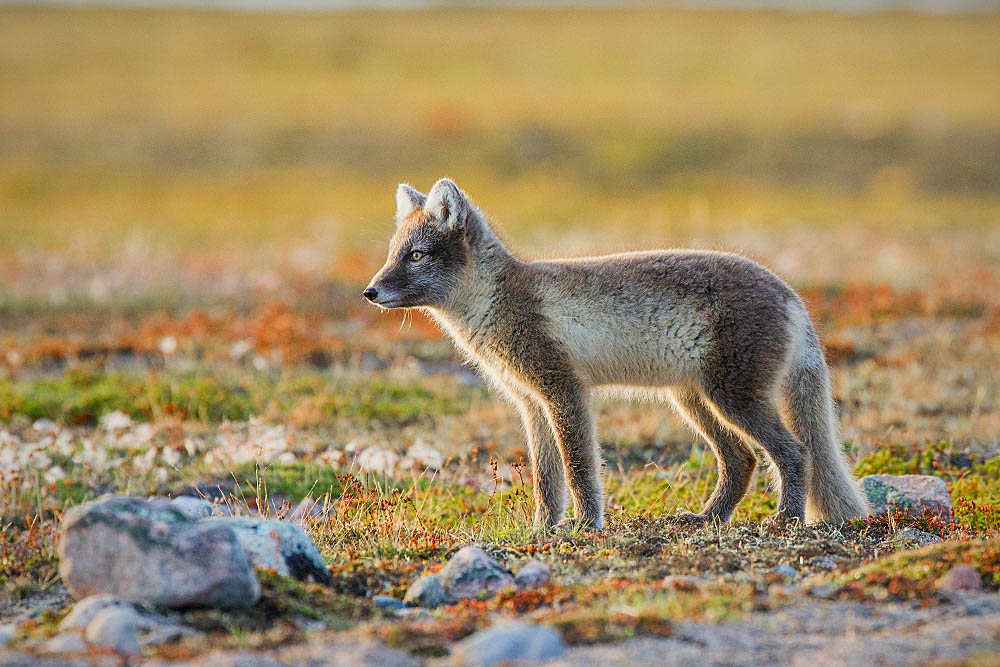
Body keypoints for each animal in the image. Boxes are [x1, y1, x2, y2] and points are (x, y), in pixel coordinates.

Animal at [366, 179, 868, 532]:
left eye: (417, 255)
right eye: (392, 253)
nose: (369, 291)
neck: (497, 301)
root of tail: (790, 293)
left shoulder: (564, 392)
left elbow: (579, 469)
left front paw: (587, 526)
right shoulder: (531, 403)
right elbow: (546, 480)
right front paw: (541, 531)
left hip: (733, 399)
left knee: (794, 451)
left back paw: (786, 520)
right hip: (695, 401)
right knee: (742, 460)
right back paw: (707, 520)